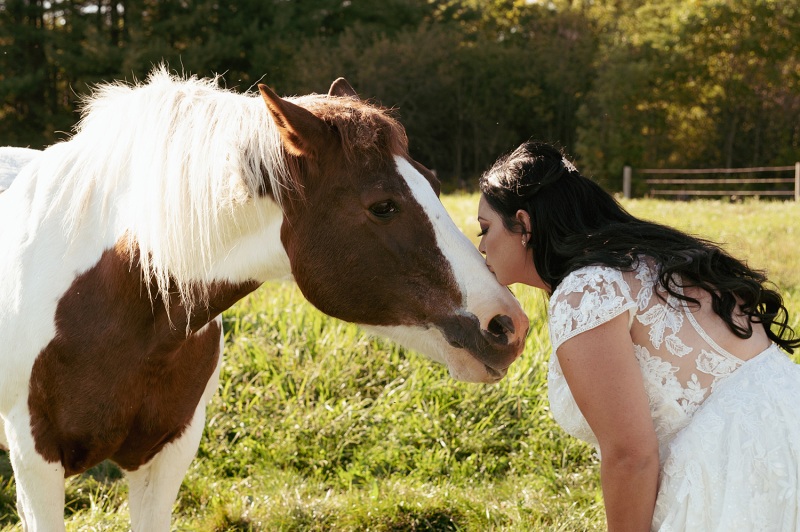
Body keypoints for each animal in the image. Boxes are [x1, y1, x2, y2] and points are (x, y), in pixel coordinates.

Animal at [0, 66, 532, 528]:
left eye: (435, 183)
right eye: (383, 206)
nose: (507, 325)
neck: (121, 308)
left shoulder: (167, 456)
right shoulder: (36, 463)